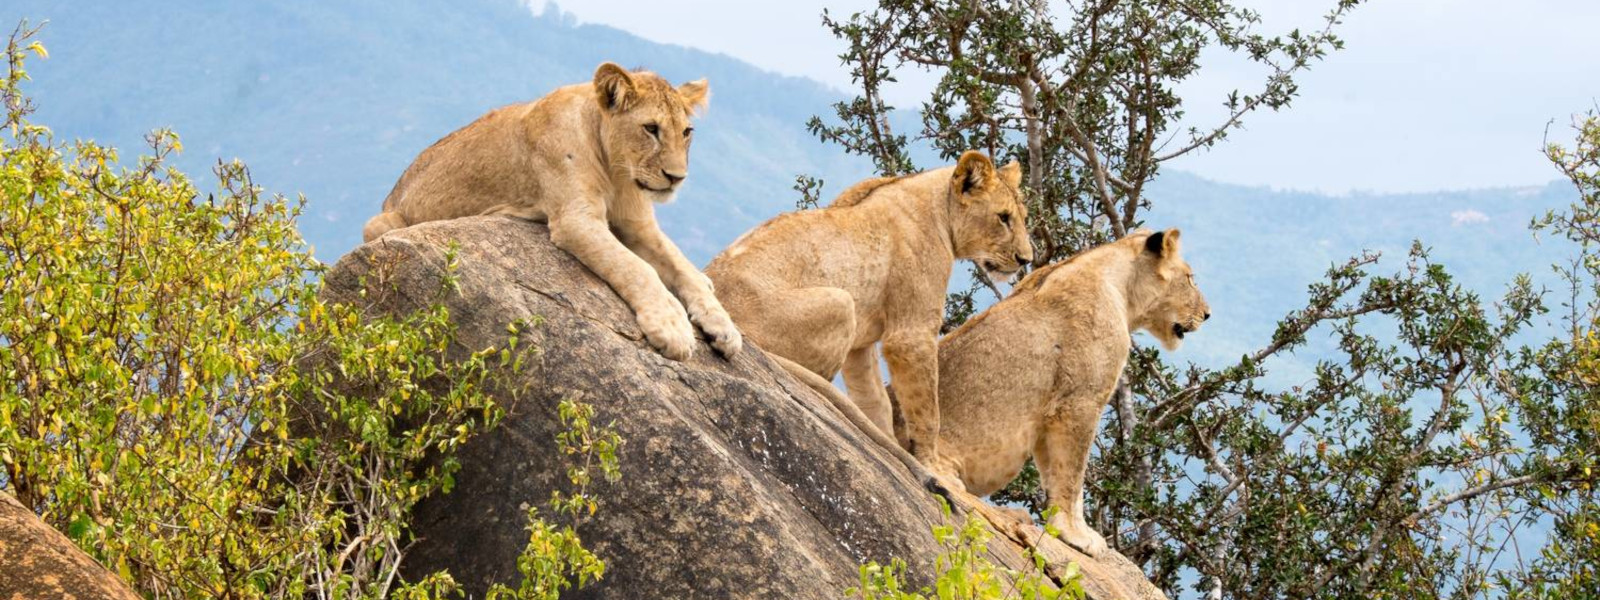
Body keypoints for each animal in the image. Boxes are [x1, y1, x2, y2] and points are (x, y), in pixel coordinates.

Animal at [361, 62, 736, 361]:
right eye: (650, 128)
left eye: (686, 132)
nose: (677, 177)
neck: (616, 169)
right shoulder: (575, 220)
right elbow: (636, 268)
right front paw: (672, 328)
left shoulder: (638, 224)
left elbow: (680, 266)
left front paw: (723, 327)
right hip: (380, 224)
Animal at [704, 151, 1030, 489]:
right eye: (1003, 217)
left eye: (1022, 216)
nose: (1026, 259)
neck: (939, 206)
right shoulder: (910, 336)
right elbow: (928, 410)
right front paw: (934, 466)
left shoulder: (861, 346)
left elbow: (875, 400)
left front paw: (889, 445)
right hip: (841, 302)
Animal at [934, 230, 1203, 560]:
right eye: (1190, 278)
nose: (1207, 314)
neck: (1122, 289)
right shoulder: (1079, 401)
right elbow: (1073, 475)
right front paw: (1077, 535)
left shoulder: (1051, 413)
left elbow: (1055, 473)